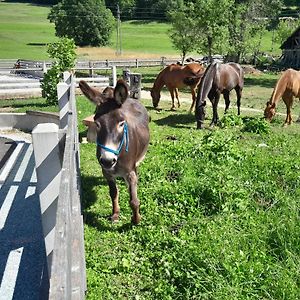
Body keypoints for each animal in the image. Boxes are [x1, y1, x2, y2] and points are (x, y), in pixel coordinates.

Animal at [79, 79, 150, 225]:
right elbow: (113, 193)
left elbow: (134, 200)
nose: (107, 160)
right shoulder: (107, 173)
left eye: (122, 123)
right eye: (97, 123)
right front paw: (115, 214)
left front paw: (136, 220)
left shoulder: (130, 172)